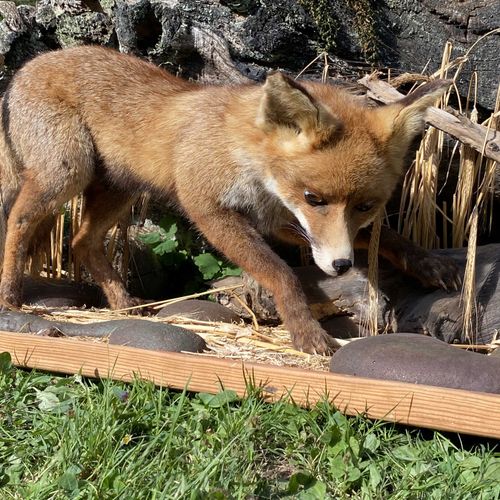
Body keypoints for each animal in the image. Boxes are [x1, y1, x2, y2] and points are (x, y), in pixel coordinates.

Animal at [0, 46, 460, 352]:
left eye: (365, 207)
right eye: (313, 197)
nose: (342, 265)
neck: (246, 160)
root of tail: (28, 65)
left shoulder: (277, 221)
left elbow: (390, 239)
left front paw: (428, 263)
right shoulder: (208, 209)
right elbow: (282, 274)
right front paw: (306, 331)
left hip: (119, 191)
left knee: (82, 242)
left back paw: (122, 304)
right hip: (66, 173)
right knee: (18, 221)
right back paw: (11, 295)